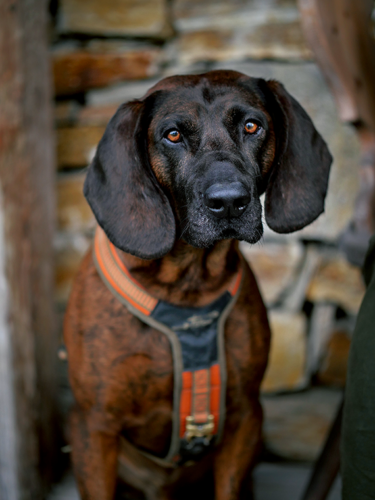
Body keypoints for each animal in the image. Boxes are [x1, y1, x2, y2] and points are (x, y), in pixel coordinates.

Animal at [64, 68, 332, 498]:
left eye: (252, 126)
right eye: (173, 135)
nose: (229, 202)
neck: (187, 287)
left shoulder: (244, 419)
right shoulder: (93, 427)